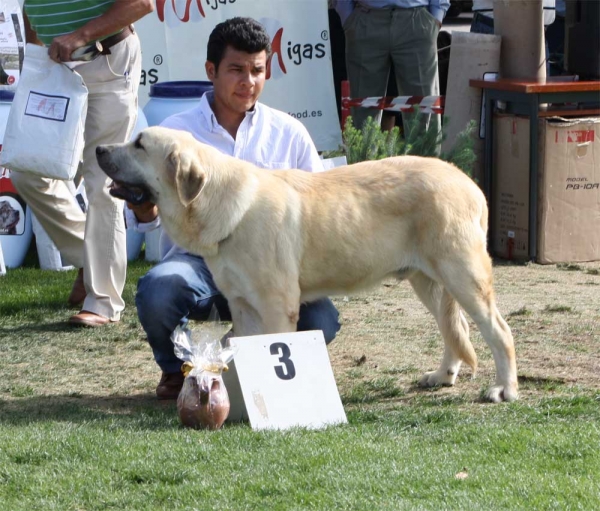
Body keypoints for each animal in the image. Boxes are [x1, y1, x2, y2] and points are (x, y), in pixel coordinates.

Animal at [96, 126, 516, 402]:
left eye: (139, 144)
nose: (99, 148)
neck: (220, 205)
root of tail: (468, 182)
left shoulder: (275, 306)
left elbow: (273, 351)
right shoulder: (243, 306)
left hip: (462, 275)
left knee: (499, 331)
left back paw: (504, 388)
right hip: (429, 281)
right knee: (454, 328)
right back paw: (443, 375)